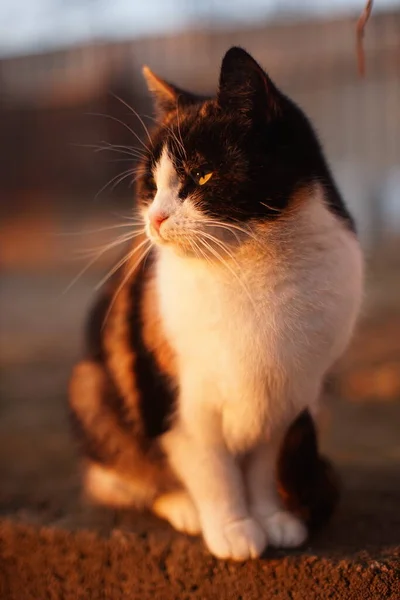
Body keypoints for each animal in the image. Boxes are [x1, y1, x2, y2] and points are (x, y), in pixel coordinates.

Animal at [69, 48, 362, 564]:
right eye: (150, 185)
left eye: (202, 175)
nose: (155, 218)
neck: (251, 269)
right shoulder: (186, 406)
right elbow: (215, 473)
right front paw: (233, 529)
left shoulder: (285, 401)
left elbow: (261, 470)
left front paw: (271, 519)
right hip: (91, 386)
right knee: (119, 478)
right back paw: (182, 506)